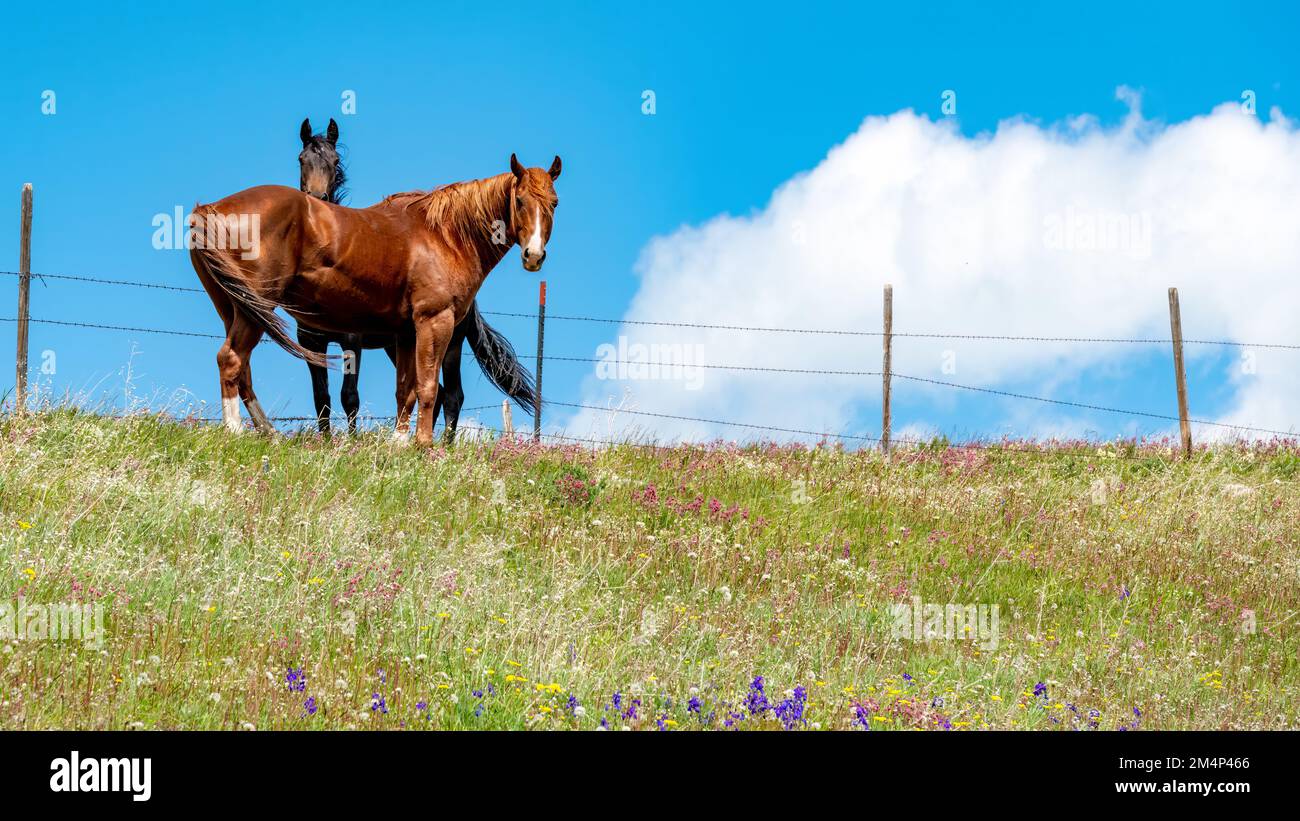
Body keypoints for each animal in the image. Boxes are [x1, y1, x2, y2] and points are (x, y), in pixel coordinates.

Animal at [189, 153, 560, 446]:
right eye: (520, 201)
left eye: (554, 203)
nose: (534, 255)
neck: (444, 235)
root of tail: (210, 209)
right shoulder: (433, 321)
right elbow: (425, 387)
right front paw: (422, 446)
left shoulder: (406, 333)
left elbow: (406, 390)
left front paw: (399, 443)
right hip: (257, 308)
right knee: (231, 360)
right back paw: (235, 430)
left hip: (237, 310)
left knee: (242, 368)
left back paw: (267, 432)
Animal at [294, 118, 535, 437]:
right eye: (302, 160)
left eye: (334, 162)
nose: (318, 200)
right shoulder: (311, 341)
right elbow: (321, 397)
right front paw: (326, 442)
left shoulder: (352, 340)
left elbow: (349, 397)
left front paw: (351, 441)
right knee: (438, 393)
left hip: (449, 342)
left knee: (453, 395)